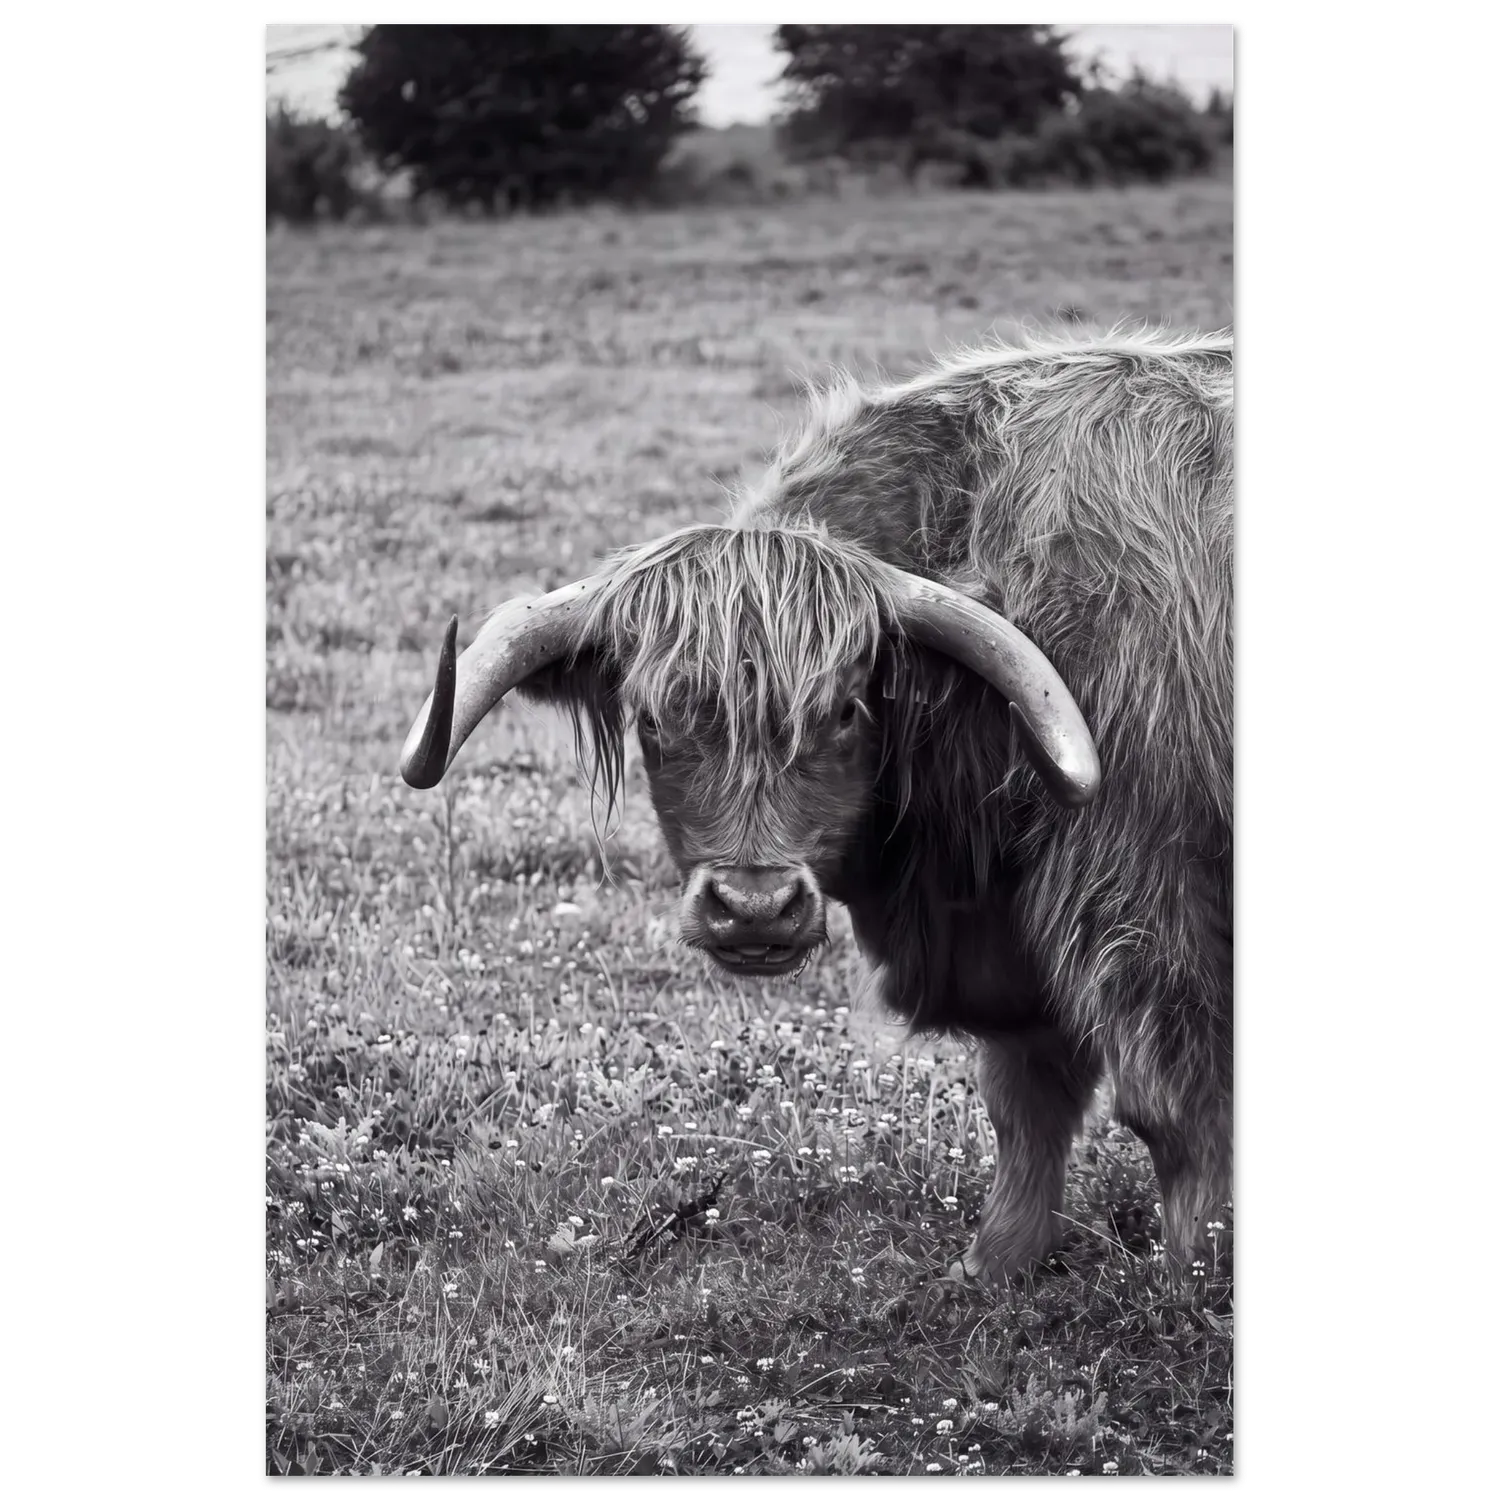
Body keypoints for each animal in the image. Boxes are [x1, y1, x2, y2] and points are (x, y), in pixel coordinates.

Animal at [400, 327, 1234, 1283]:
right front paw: (994, 1264)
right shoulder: (1018, 940)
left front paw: (1197, 1276)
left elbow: (1174, 1109)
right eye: (652, 717)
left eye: (845, 709)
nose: (755, 907)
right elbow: (1025, 1095)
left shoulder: (1153, 900)